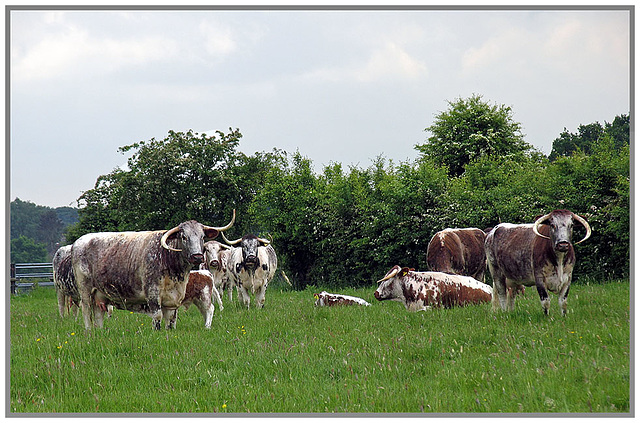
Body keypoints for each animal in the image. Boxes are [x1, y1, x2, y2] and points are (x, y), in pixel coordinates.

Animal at [70, 212, 235, 332]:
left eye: (202, 236)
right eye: (184, 236)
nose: (198, 256)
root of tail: (78, 243)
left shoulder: (172, 299)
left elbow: (171, 319)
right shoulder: (153, 294)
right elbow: (157, 317)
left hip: (99, 294)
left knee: (98, 314)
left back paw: (99, 331)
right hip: (85, 290)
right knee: (86, 311)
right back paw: (88, 331)